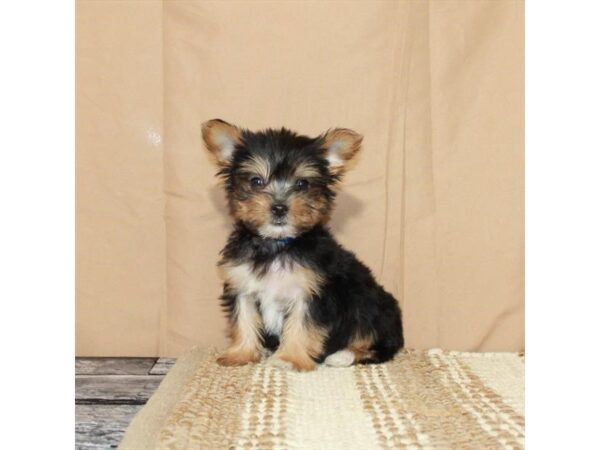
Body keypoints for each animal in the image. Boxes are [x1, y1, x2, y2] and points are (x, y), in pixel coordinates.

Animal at [202, 119, 404, 372]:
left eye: (302, 184)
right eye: (256, 181)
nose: (279, 208)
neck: (277, 245)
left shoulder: (311, 292)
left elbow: (301, 325)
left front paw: (289, 359)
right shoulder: (242, 285)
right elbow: (244, 319)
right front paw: (241, 353)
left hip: (371, 302)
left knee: (374, 340)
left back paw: (343, 355)